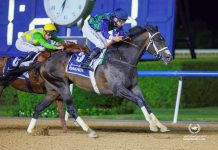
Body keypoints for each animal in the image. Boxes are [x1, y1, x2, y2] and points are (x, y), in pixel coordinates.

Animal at [26, 25, 172, 138]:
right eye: (158, 40)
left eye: (163, 39)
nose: (169, 58)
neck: (122, 60)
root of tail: (45, 61)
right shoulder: (118, 89)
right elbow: (139, 101)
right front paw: (152, 125)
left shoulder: (134, 87)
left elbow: (145, 103)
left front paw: (161, 125)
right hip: (62, 85)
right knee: (71, 108)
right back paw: (89, 130)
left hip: (53, 90)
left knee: (39, 107)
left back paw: (30, 130)